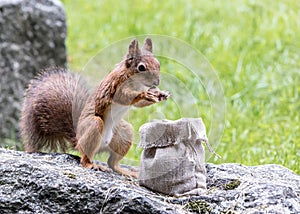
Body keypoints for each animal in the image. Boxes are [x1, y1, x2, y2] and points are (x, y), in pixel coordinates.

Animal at [20, 38, 171, 177]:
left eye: (158, 64)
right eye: (141, 67)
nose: (157, 82)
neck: (134, 80)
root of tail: (78, 141)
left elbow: (138, 104)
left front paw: (160, 94)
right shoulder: (116, 85)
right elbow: (124, 97)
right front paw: (144, 94)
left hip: (123, 133)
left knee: (112, 162)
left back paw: (125, 171)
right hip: (94, 125)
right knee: (85, 158)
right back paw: (92, 165)